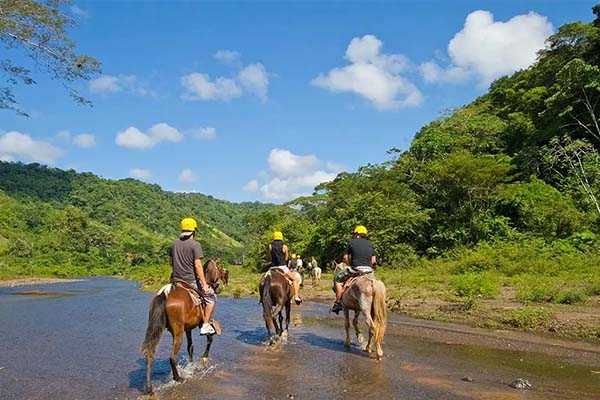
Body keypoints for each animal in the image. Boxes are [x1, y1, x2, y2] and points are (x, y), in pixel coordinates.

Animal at [141, 258, 223, 392]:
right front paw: (203, 360)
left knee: (150, 353)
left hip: (158, 328)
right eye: (219, 269)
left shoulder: (188, 328)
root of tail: (165, 293)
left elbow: (190, 346)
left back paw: (149, 388)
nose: (219, 286)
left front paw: (190, 366)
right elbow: (210, 339)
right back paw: (178, 378)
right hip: (177, 331)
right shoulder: (202, 323)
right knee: (172, 357)